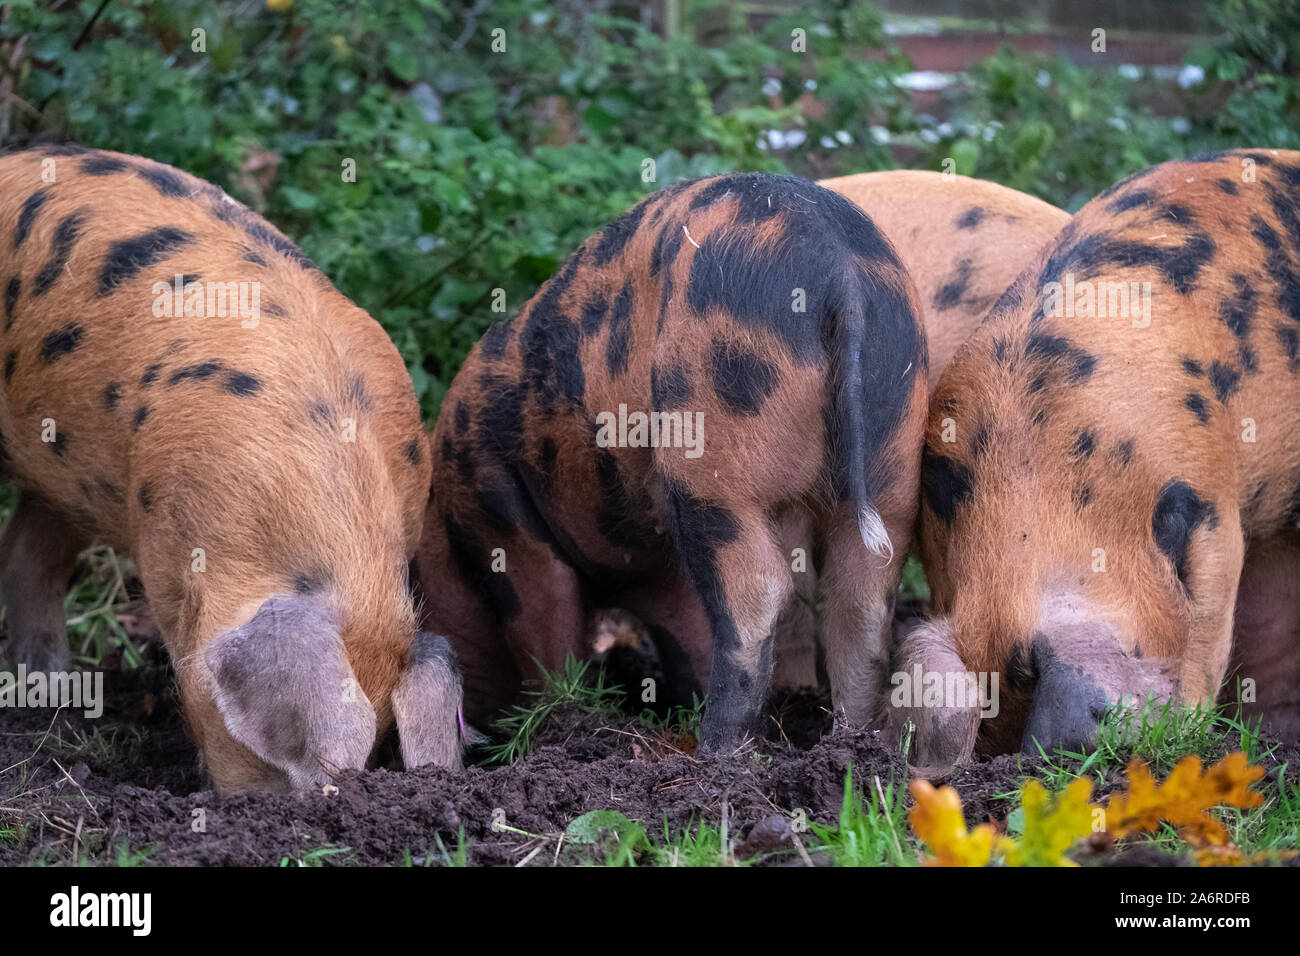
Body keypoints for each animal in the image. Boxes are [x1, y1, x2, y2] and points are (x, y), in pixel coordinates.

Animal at [416, 175, 925, 749]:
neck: (447, 523)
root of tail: (840, 269)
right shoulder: (652, 563)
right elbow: (682, 626)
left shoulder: (498, 509)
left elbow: (545, 620)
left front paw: (561, 720)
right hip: (894, 450)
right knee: (863, 600)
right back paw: (851, 741)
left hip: (713, 442)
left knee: (758, 590)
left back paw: (716, 749)